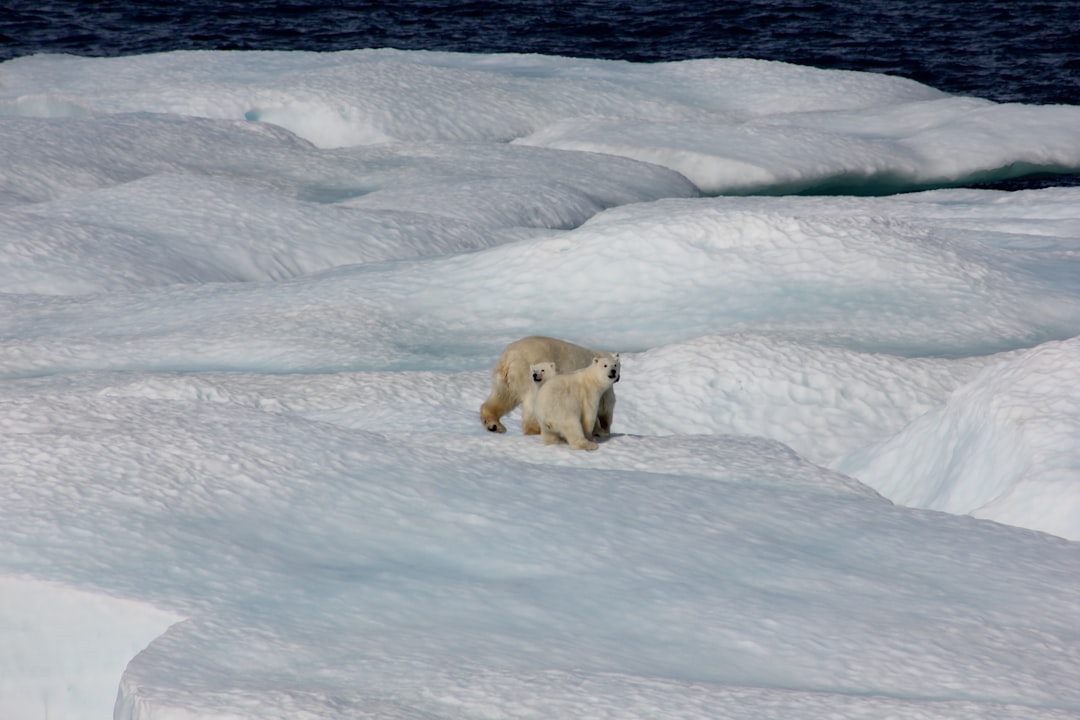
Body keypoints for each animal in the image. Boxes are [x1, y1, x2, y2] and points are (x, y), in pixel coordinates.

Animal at [479, 336, 622, 433]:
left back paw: (494, 425)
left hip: (507, 379)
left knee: (502, 397)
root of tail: (509, 358)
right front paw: (603, 430)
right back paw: (536, 429)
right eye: (617, 365)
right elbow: (605, 406)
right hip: (531, 375)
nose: (617, 377)